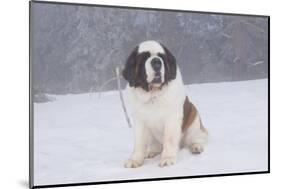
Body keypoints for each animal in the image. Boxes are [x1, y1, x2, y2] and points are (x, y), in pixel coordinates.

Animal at [121, 39, 207, 167]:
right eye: (144, 57)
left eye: (161, 56)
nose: (156, 62)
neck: (153, 94)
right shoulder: (140, 121)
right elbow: (139, 143)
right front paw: (135, 160)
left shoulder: (172, 119)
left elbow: (169, 139)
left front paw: (167, 158)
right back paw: (151, 152)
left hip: (193, 116)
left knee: (195, 138)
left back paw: (196, 146)